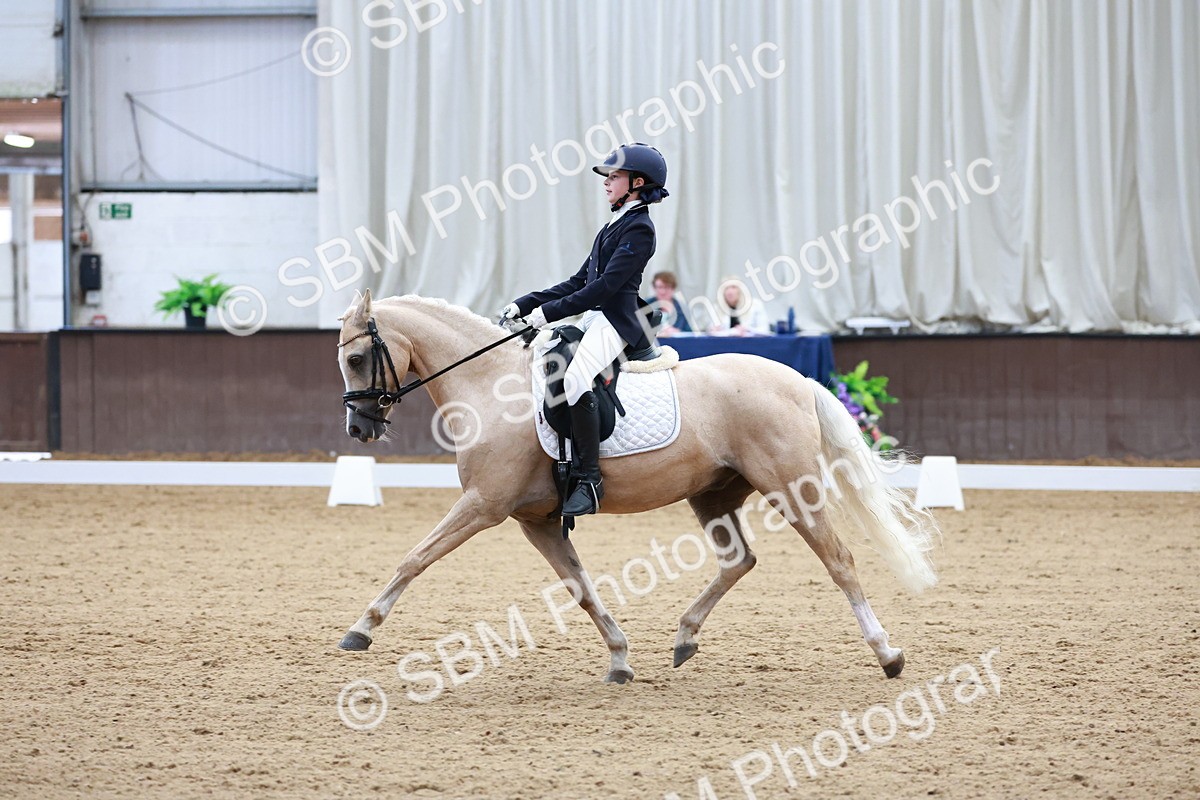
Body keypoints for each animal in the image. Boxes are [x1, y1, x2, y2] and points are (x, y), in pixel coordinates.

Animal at [335, 291, 937, 684]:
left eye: (357, 357)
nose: (359, 429)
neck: (489, 386)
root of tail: (798, 380)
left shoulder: (484, 505)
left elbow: (415, 558)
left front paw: (361, 629)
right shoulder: (535, 522)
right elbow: (580, 588)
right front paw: (620, 658)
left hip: (791, 488)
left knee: (839, 560)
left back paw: (887, 654)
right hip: (714, 494)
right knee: (739, 561)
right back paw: (685, 637)